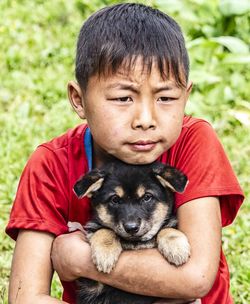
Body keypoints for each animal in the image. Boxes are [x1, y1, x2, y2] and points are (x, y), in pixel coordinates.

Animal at [73, 160, 190, 302]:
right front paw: (105, 254)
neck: (135, 243)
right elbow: (104, 230)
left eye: (147, 197)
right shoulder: (93, 286)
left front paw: (177, 249)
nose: (131, 228)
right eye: (115, 199)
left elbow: (166, 228)